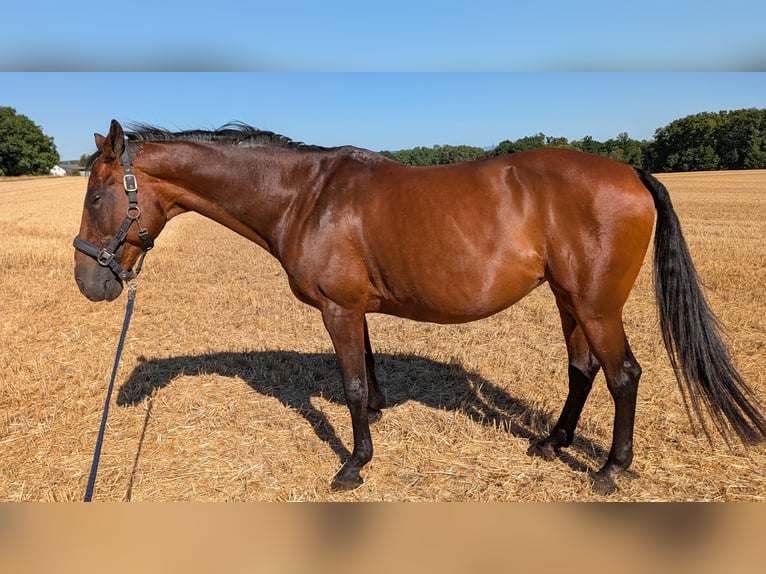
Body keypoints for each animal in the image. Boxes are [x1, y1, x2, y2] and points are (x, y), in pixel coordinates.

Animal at [73, 119, 766, 495]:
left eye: (99, 195)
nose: (88, 280)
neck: (306, 196)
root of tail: (630, 172)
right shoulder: (355, 308)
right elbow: (369, 372)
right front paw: (377, 423)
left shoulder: (337, 309)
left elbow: (351, 384)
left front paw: (354, 464)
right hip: (569, 299)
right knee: (583, 369)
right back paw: (552, 442)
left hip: (597, 305)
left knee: (624, 376)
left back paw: (608, 470)